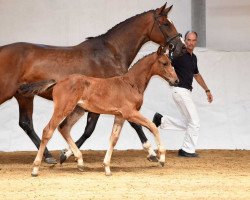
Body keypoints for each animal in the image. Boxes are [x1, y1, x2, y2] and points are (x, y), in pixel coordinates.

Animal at [0, 3, 186, 163]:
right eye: (165, 23)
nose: (182, 47)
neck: (110, 53)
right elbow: (124, 125)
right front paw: (152, 152)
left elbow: (90, 130)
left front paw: (66, 153)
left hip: (24, 96)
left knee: (26, 123)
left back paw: (48, 156)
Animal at [19, 46, 180, 176]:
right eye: (164, 63)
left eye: (172, 63)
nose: (176, 80)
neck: (131, 84)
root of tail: (58, 82)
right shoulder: (130, 113)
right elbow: (153, 127)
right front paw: (161, 158)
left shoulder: (120, 116)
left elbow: (113, 139)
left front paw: (107, 167)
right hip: (63, 108)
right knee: (48, 130)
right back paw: (35, 169)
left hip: (78, 110)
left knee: (64, 128)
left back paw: (79, 161)